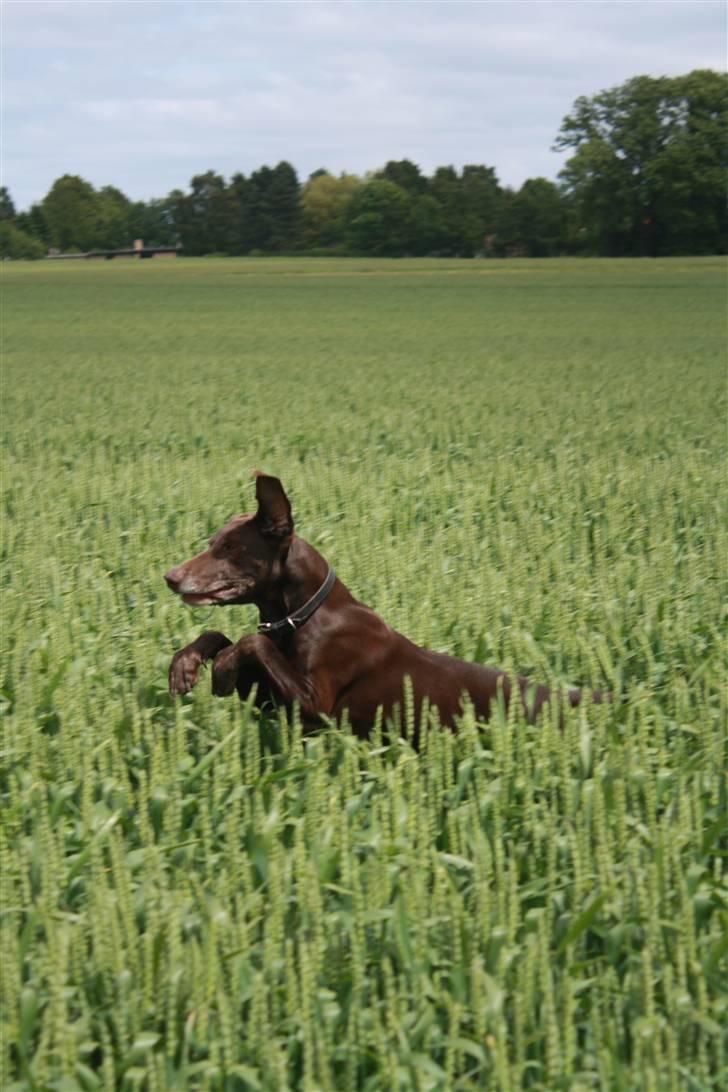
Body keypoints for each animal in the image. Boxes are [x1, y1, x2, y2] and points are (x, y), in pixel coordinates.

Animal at [164, 473, 602, 738]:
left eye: (231, 548)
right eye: (212, 542)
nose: (170, 576)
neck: (302, 617)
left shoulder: (316, 706)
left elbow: (250, 643)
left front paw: (220, 667)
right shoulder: (269, 698)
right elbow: (221, 634)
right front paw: (185, 665)